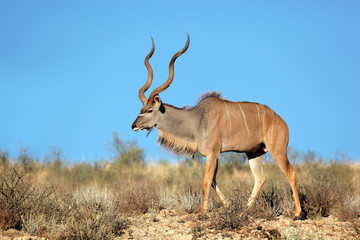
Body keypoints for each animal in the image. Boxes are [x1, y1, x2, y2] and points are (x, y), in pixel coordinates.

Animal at [131, 33, 302, 219]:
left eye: (149, 110)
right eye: (141, 109)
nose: (134, 125)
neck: (197, 119)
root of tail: (282, 121)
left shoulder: (212, 154)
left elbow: (207, 180)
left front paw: (203, 212)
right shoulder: (214, 155)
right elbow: (213, 180)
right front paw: (228, 206)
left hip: (277, 149)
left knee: (291, 173)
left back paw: (298, 213)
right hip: (254, 153)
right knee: (260, 178)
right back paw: (244, 211)